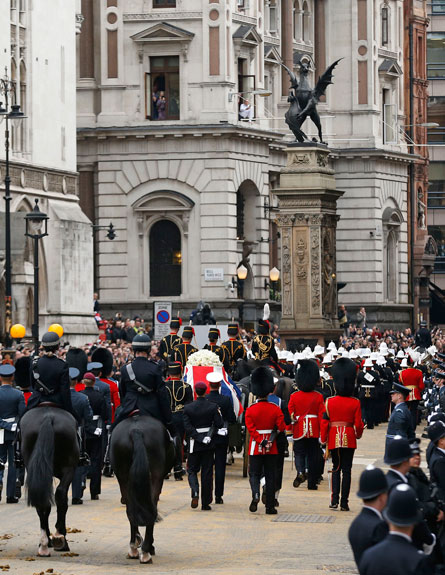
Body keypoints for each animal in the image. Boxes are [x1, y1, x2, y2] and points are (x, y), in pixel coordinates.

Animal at [20, 408, 79, 556]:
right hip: (69, 468)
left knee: (43, 503)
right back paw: (59, 538)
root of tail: (48, 417)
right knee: (60, 494)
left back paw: (44, 544)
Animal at [110, 416, 174, 564]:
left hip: (123, 479)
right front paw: (149, 545)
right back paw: (146, 552)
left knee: (130, 511)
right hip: (156, 478)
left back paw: (133, 548)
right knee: (152, 510)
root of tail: (136, 430)